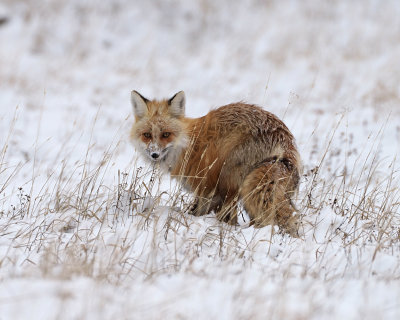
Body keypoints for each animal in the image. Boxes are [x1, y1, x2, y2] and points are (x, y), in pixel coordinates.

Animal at [131, 90, 304, 235]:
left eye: (166, 134)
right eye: (147, 135)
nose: (154, 154)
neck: (189, 144)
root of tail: (285, 140)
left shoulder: (207, 188)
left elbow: (197, 211)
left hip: (231, 180)